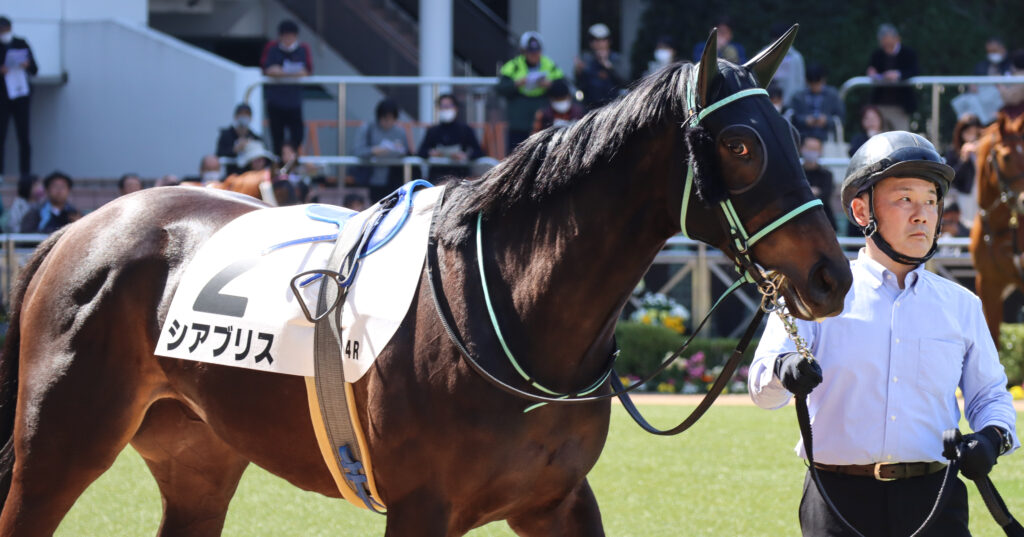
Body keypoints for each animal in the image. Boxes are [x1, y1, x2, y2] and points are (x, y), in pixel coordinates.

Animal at [0, 27, 851, 536]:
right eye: (741, 145)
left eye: (791, 133)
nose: (831, 271)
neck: (511, 308)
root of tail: (80, 228)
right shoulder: (420, 507)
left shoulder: (558, 499)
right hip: (59, 449)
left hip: (196, 459)